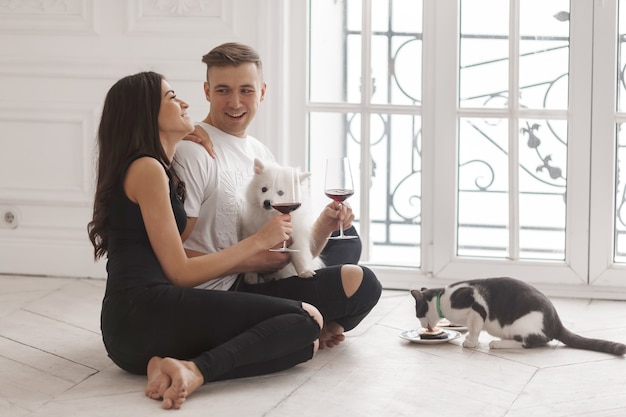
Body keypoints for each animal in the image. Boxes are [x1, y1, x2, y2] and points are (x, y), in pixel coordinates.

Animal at [410, 276, 624, 354]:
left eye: (418, 313)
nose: (421, 324)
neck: (443, 297)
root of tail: (556, 321)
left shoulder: (476, 305)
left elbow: (475, 329)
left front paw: (471, 342)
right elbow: (473, 329)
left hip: (524, 323)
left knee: (533, 341)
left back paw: (498, 344)